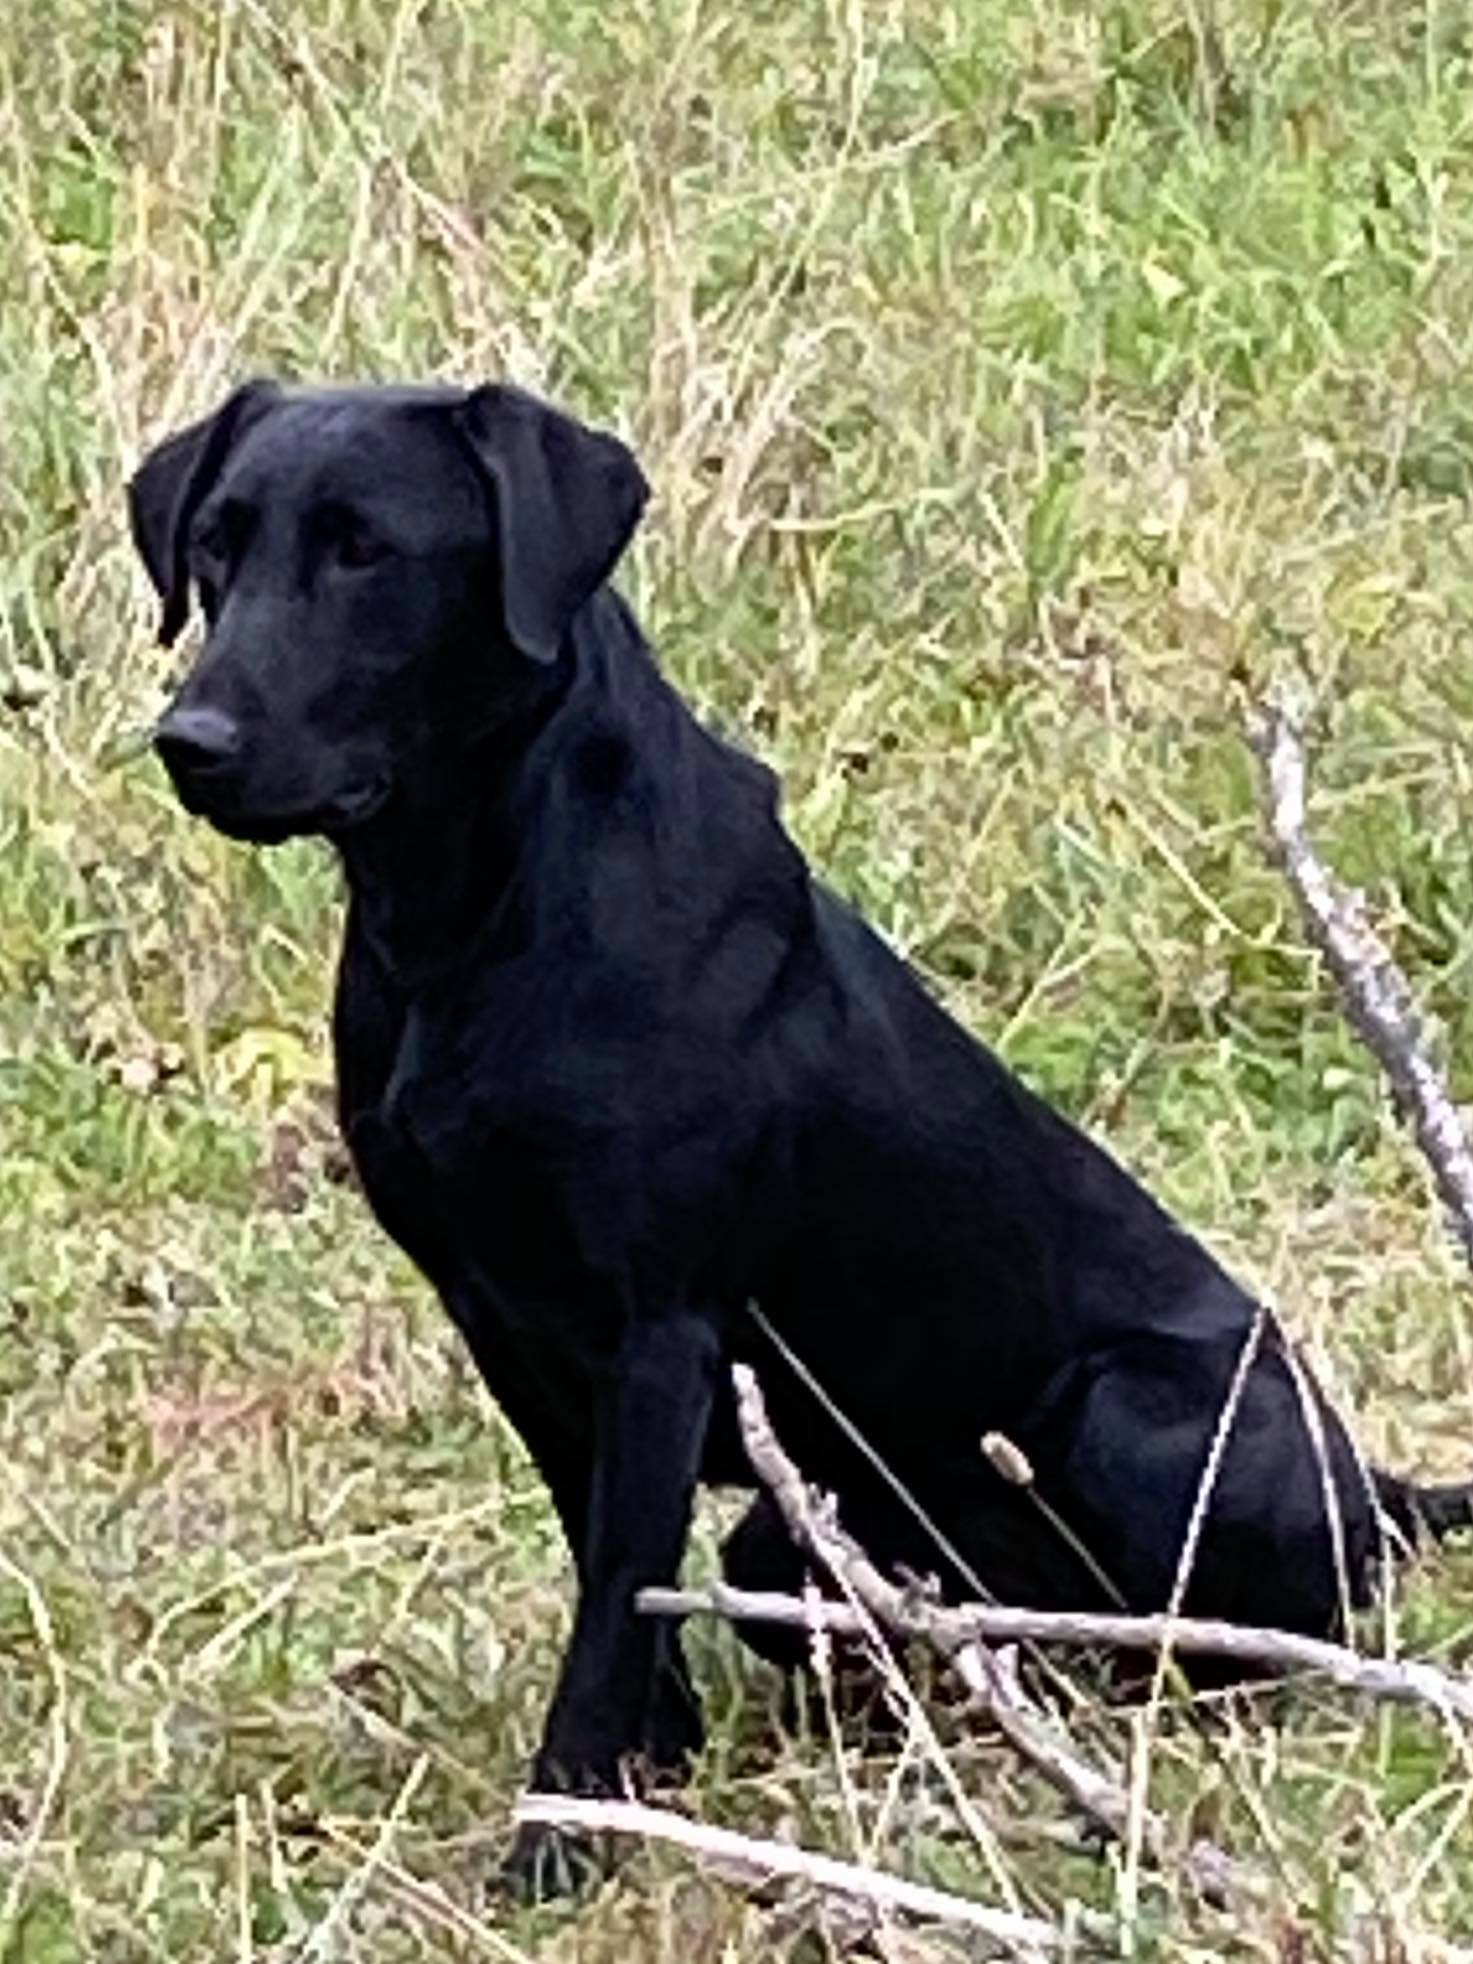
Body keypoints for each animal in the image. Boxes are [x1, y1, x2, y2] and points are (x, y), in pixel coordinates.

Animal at [132, 375, 1469, 1893]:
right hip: (793, 1537)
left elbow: (616, 1587)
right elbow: (608, 1558)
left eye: (367, 551)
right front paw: (650, 1764)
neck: (470, 915)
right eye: (218, 546)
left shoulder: (658, 1327)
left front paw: (564, 1832)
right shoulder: (500, 1318)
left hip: (1135, 1414)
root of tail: (1380, 1483)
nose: (192, 742)